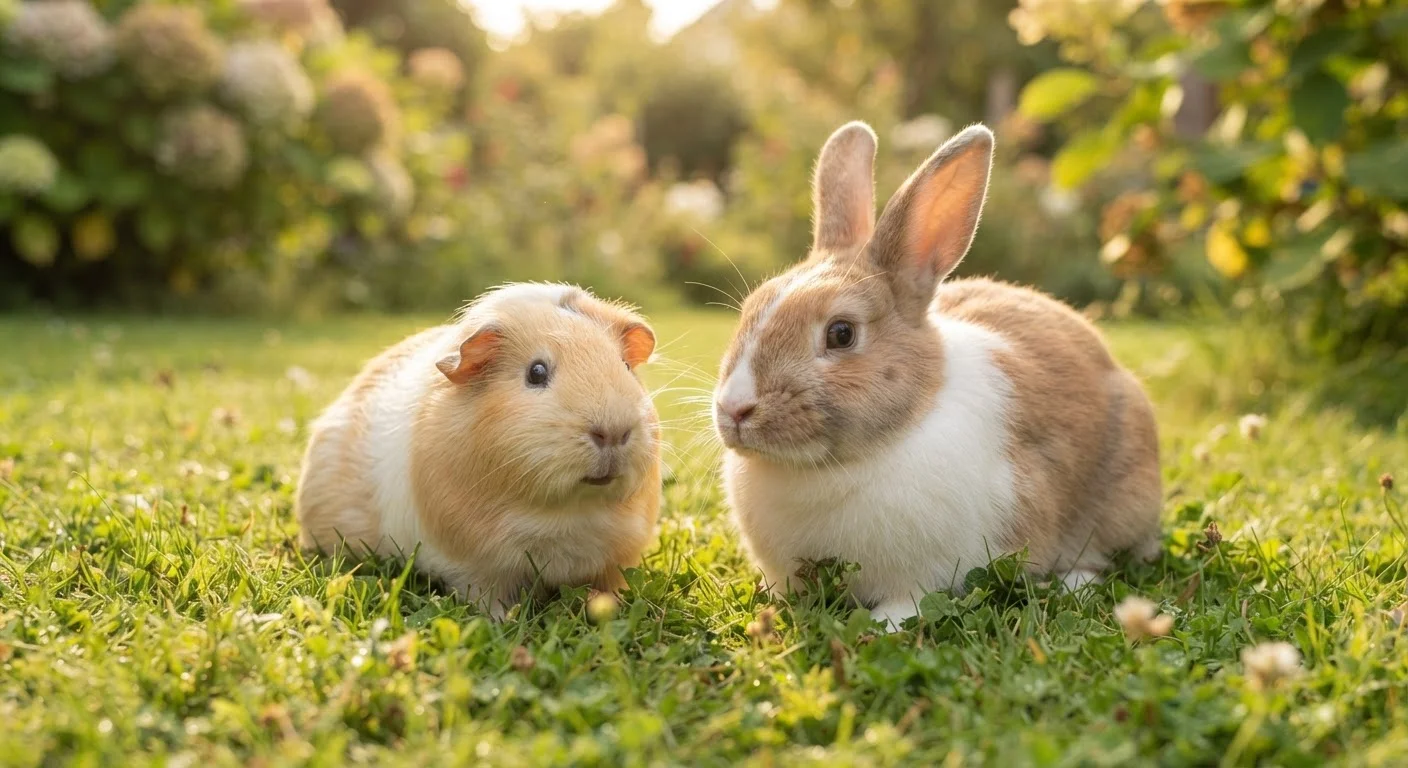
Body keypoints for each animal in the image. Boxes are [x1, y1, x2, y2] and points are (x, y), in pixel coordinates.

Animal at [296, 283, 661, 619]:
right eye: (536, 372)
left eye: (625, 366)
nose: (613, 432)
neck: (567, 514)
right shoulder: (475, 566)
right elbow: (487, 597)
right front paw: (504, 620)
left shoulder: (614, 560)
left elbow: (609, 586)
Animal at [713, 121, 1161, 629]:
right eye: (749, 311)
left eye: (841, 334)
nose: (734, 410)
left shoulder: (924, 574)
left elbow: (906, 601)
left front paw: (882, 626)